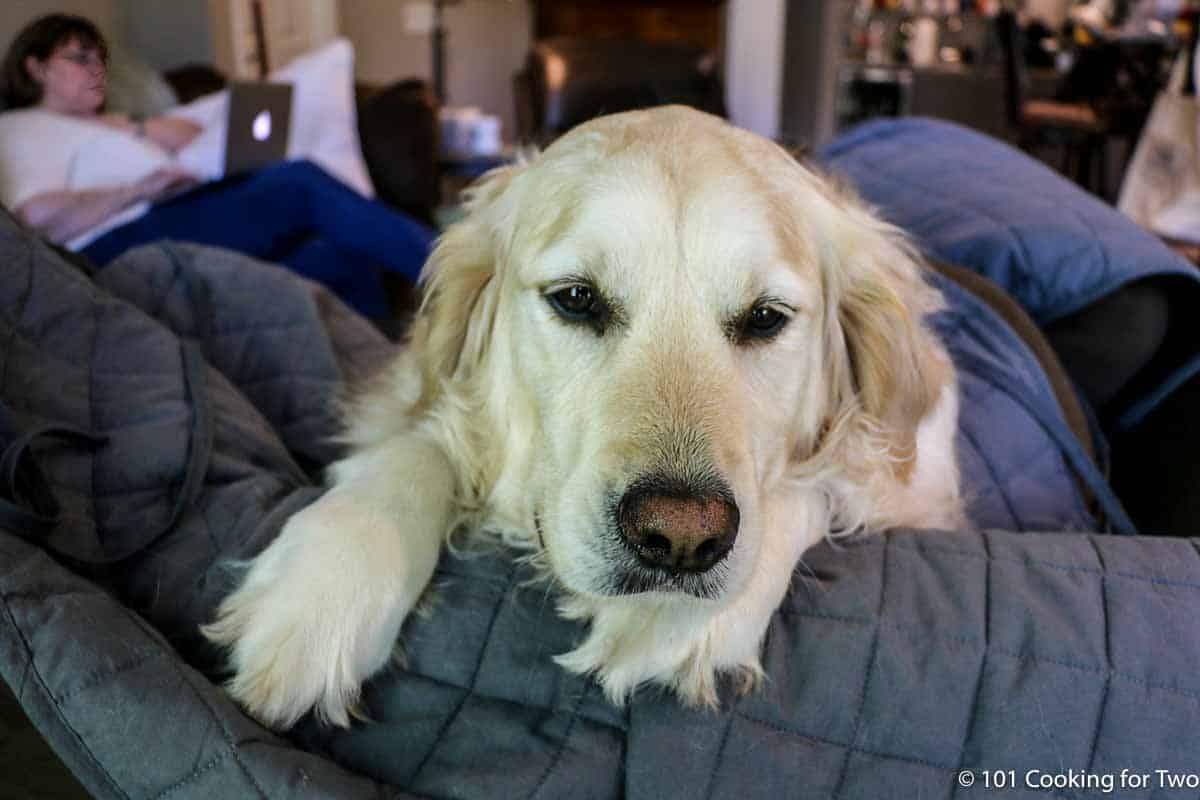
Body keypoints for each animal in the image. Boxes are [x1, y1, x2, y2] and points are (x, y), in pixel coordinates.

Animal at [204, 107, 964, 734]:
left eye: (766, 318)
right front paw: (320, 589)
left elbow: (826, 477)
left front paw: (668, 617)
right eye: (576, 299)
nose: (679, 540)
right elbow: (421, 442)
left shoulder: (920, 469)